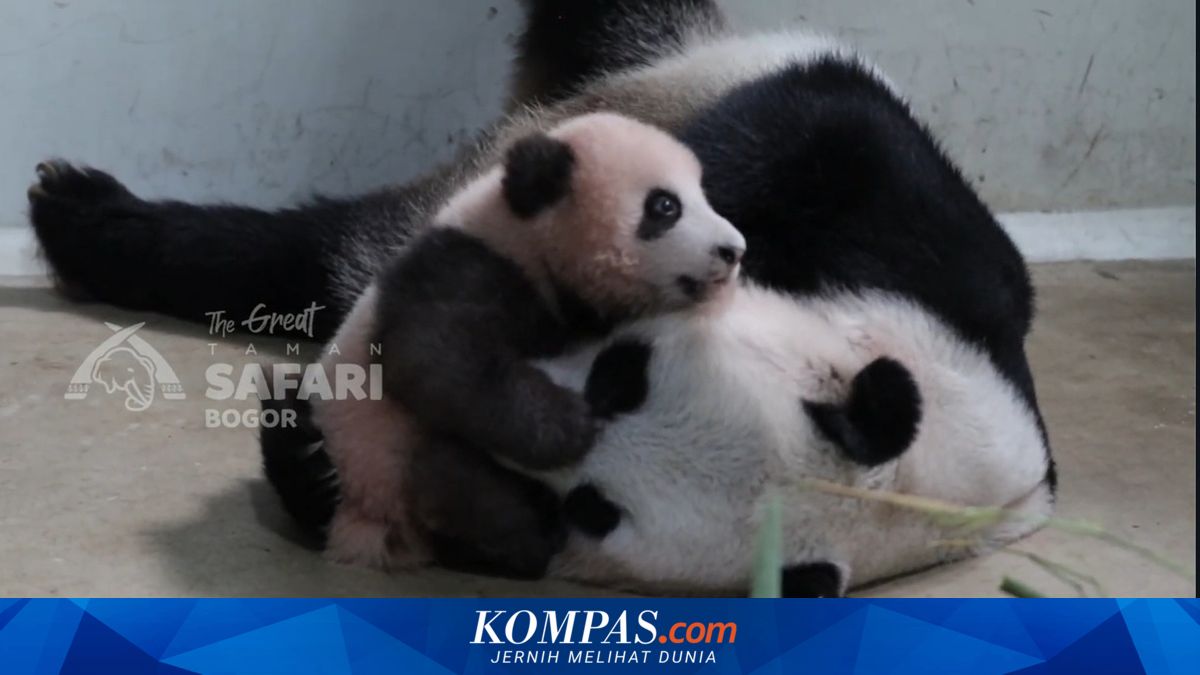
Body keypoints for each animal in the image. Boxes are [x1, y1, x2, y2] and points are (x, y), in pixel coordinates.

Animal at [292, 112, 747, 578]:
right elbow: (432, 358)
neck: (525, 232)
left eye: (703, 195)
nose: (734, 250)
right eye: (665, 206)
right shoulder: (469, 269)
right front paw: (573, 424)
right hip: (373, 459)